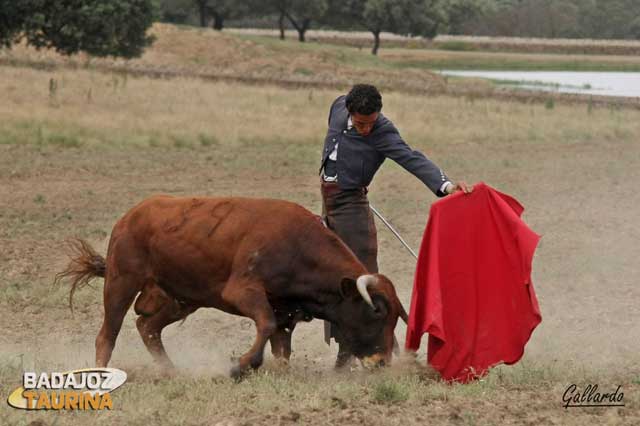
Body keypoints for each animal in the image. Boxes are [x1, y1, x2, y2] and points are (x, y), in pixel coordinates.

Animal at [57, 196, 408, 376]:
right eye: (376, 313)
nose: (382, 361)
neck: (299, 246)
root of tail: (129, 217)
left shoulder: (286, 311)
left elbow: (281, 346)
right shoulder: (243, 292)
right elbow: (264, 324)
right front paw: (241, 365)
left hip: (181, 297)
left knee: (148, 326)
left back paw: (172, 371)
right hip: (121, 283)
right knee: (108, 334)